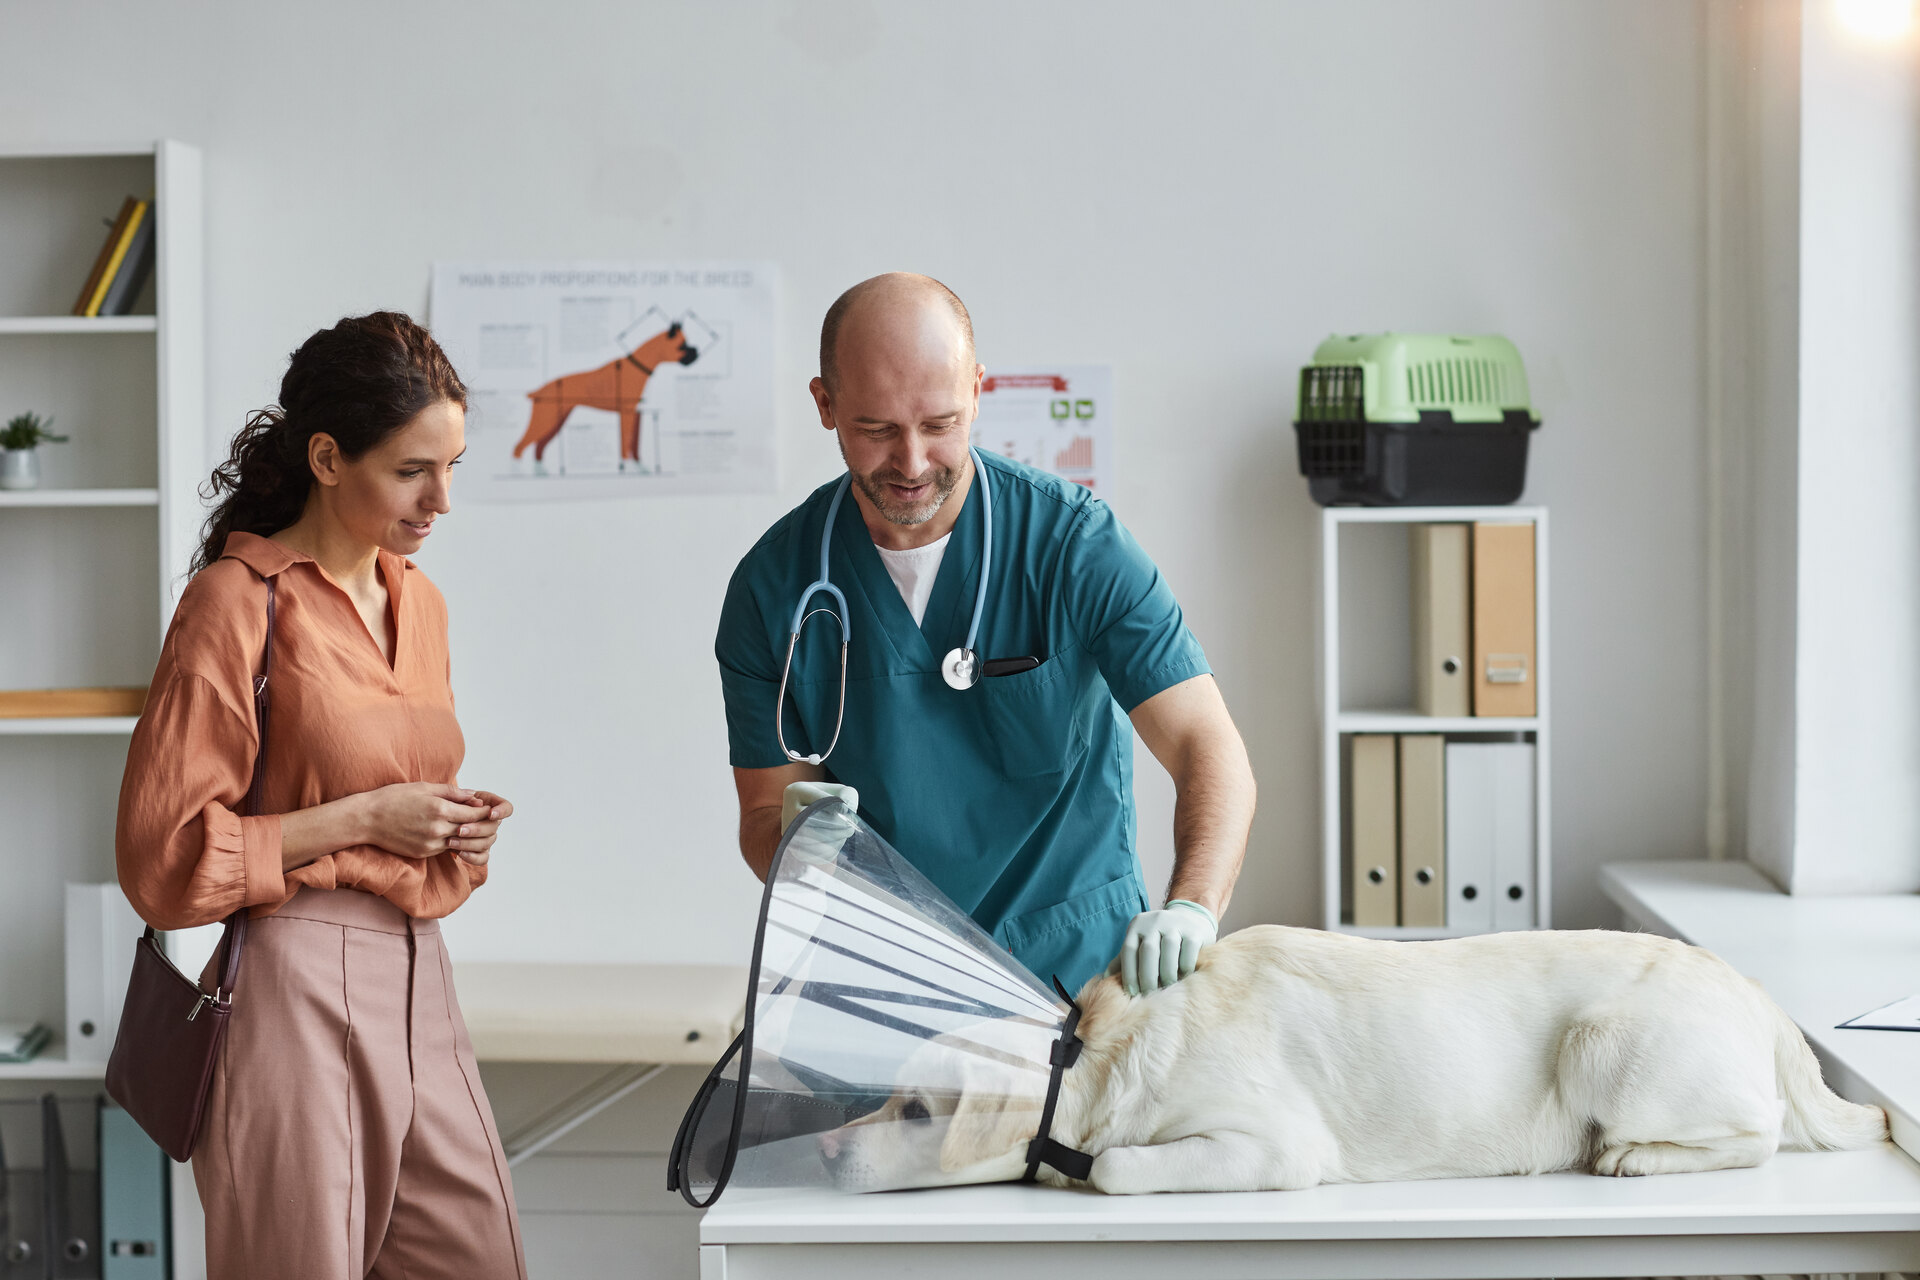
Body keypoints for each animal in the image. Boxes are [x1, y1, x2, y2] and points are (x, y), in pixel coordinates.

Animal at [817, 924, 1881, 1197]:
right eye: (882, 1098)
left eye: (917, 1112)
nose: (825, 1151)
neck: (1101, 1051)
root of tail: (1754, 991)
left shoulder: (1277, 1147)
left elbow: (1115, 1167)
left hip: (1604, 1048)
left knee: (1761, 1132)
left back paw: (1634, 1157)